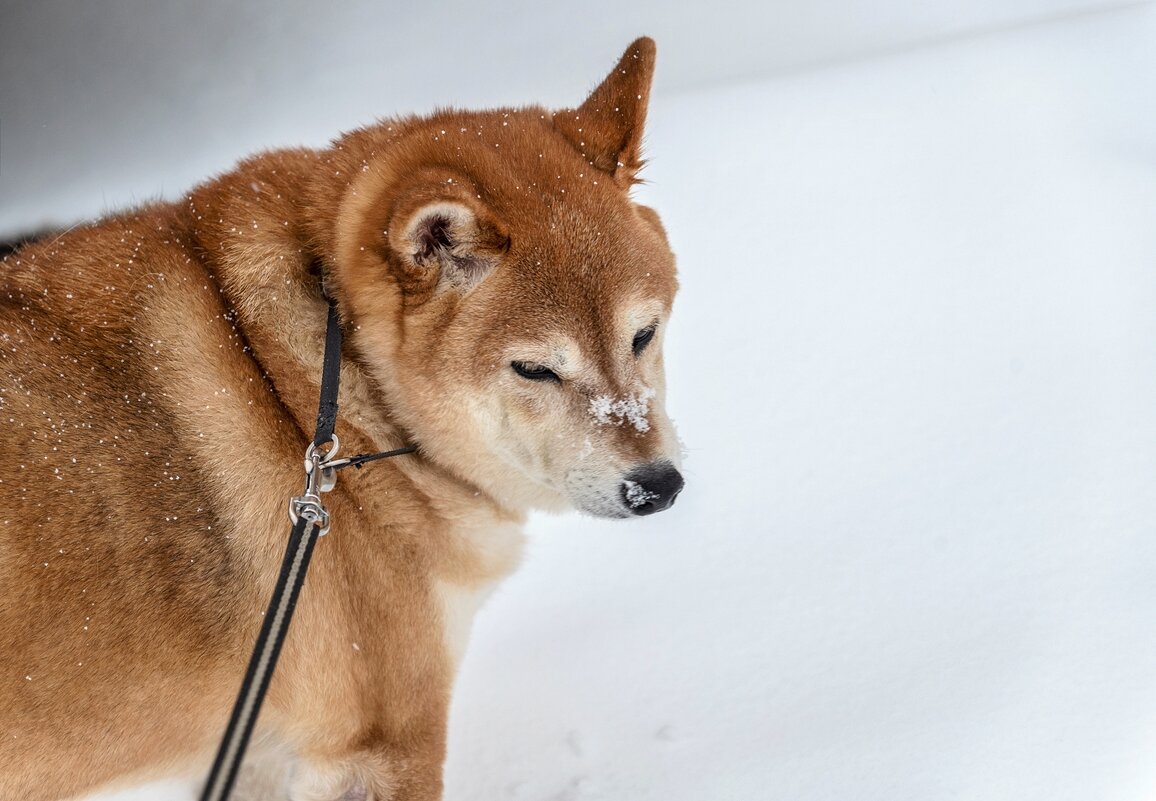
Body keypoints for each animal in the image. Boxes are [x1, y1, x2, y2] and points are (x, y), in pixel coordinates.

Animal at [0, 37, 679, 799]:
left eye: (643, 335)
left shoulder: (254, 750)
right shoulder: (380, 749)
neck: (316, 388)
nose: (657, 485)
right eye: (534, 369)